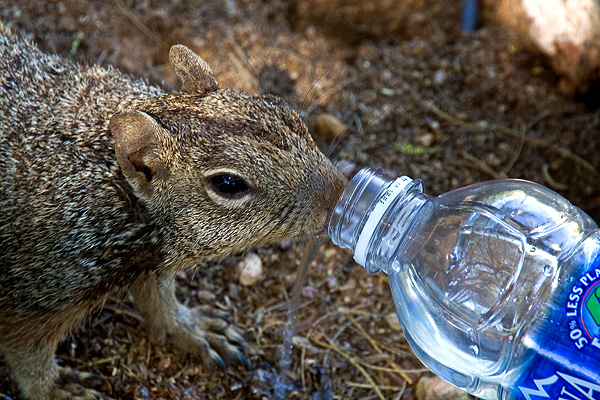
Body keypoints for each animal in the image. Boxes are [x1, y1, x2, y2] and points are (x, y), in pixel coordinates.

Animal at [0, 22, 346, 400]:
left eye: (283, 109)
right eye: (228, 183)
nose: (339, 193)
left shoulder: (150, 265)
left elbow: (160, 303)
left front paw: (193, 328)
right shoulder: (32, 298)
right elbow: (29, 358)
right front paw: (56, 390)